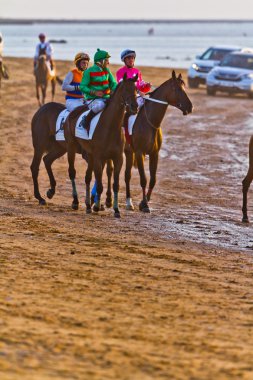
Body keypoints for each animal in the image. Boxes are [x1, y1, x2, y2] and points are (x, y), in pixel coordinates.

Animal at [64, 73, 137, 217]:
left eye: (136, 89)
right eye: (126, 89)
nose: (135, 106)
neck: (111, 126)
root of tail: (72, 112)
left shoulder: (117, 158)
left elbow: (115, 184)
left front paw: (116, 209)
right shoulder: (99, 157)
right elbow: (99, 184)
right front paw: (97, 206)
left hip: (89, 154)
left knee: (87, 177)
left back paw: (87, 205)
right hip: (71, 147)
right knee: (72, 172)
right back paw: (75, 201)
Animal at [107, 70, 194, 214]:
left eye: (184, 87)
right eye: (177, 89)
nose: (190, 107)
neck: (150, 123)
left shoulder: (154, 154)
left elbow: (153, 180)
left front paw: (144, 202)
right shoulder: (139, 153)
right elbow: (143, 179)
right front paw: (145, 204)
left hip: (128, 152)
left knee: (127, 175)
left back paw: (129, 202)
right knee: (110, 170)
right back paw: (108, 200)